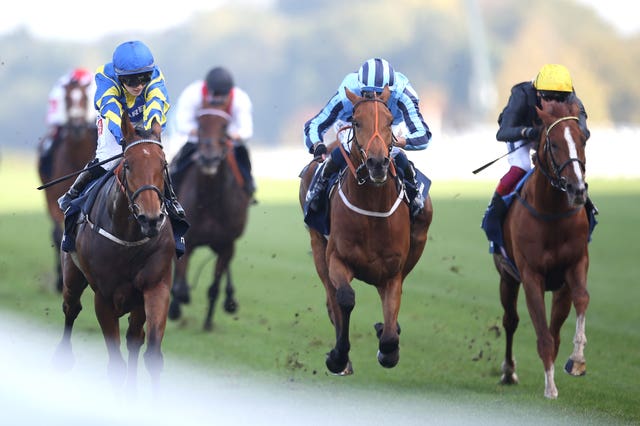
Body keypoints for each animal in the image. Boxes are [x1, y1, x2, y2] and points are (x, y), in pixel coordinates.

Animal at [37, 78, 97, 292]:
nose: (77, 127)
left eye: (85, 98)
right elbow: (58, 232)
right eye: (67, 99)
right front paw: (60, 279)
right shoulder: (56, 199)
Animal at [53, 113, 174, 392]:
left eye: (163, 164)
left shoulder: (155, 286)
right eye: (127, 165)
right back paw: (62, 357)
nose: (151, 218)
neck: (129, 236)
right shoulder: (104, 297)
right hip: (72, 275)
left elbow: (151, 354)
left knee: (135, 337)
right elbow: (116, 365)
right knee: (71, 307)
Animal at [168, 101, 250, 332]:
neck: (211, 200)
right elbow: (180, 284)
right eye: (200, 123)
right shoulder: (188, 239)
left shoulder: (226, 243)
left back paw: (229, 301)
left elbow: (214, 286)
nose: (209, 158)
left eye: (224, 127)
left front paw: (208, 322)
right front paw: (176, 306)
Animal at [298, 87, 432, 376]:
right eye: (357, 122)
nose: (378, 163)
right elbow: (345, 299)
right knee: (332, 300)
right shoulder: (337, 258)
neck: (372, 211)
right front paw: (338, 357)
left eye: (390, 121)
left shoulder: (392, 273)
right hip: (317, 245)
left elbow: (391, 331)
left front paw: (388, 348)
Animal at [492, 100, 592, 400]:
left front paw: (577, 360)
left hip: (559, 288)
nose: (577, 189)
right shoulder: (530, 275)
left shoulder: (576, 264)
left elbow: (582, 299)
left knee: (555, 326)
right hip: (507, 277)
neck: (552, 214)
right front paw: (550, 388)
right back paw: (508, 371)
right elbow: (541, 333)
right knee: (511, 320)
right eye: (554, 144)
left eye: (583, 140)